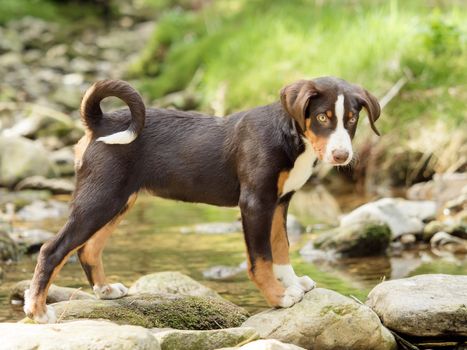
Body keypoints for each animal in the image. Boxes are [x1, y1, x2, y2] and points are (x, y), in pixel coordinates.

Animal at [23, 76, 380, 322]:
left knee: (89, 249)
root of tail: (100, 123)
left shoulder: (279, 203)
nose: (341, 155)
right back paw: (38, 311)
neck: (290, 136)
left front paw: (292, 284)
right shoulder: (255, 203)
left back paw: (105, 291)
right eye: (321, 118)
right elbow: (261, 259)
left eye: (351, 119)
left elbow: (281, 250)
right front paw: (278, 298)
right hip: (100, 199)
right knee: (52, 249)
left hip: (118, 200)